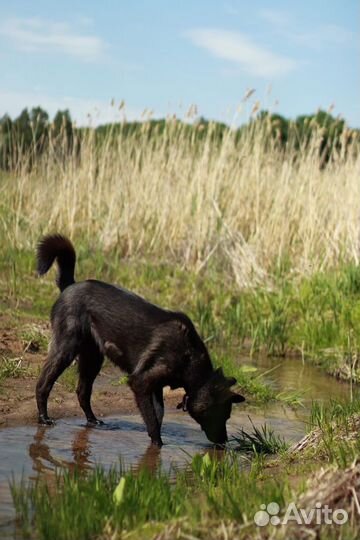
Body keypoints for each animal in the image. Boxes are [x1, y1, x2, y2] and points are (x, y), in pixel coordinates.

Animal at [35, 234, 245, 446]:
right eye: (224, 415)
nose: (224, 442)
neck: (190, 358)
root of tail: (70, 285)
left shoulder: (155, 387)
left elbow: (158, 415)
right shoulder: (140, 382)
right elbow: (151, 419)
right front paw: (157, 445)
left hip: (93, 358)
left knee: (82, 392)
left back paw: (93, 421)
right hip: (66, 350)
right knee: (43, 385)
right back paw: (44, 418)